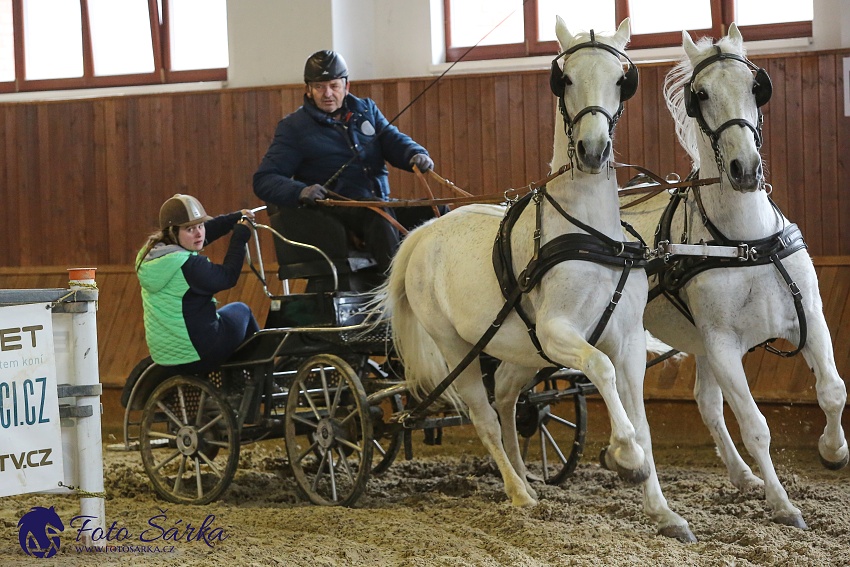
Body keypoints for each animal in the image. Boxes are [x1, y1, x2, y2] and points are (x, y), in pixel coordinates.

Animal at [378, 16, 696, 540]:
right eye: (563, 79)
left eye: (622, 80)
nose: (592, 150)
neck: (590, 236)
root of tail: (423, 234)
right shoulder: (557, 332)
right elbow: (601, 370)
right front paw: (626, 458)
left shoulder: (627, 339)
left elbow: (642, 418)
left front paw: (664, 512)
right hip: (458, 349)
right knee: (484, 414)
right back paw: (519, 492)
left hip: (519, 349)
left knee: (508, 397)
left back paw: (526, 476)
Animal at [620, 22, 844, 528]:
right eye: (700, 94)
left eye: (755, 86)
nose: (745, 169)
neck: (746, 243)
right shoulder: (723, 345)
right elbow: (756, 426)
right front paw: (784, 505)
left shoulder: (811, 319)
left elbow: (832, 392)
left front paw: (833, 451)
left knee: (706, 403)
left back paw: (743, 477)